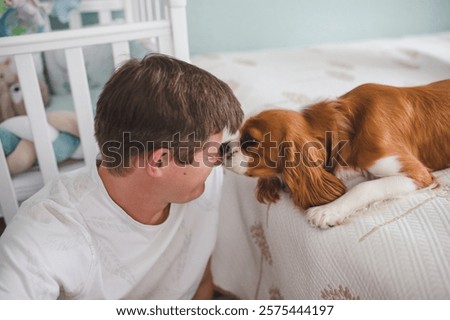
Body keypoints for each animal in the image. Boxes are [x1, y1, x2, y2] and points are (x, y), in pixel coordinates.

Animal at [222, 81, 450, 229]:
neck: (346, 127)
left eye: (250, 141)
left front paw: (328, 210)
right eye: (239, 133)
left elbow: (364, 187)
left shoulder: (418, 174)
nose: (222, 147)